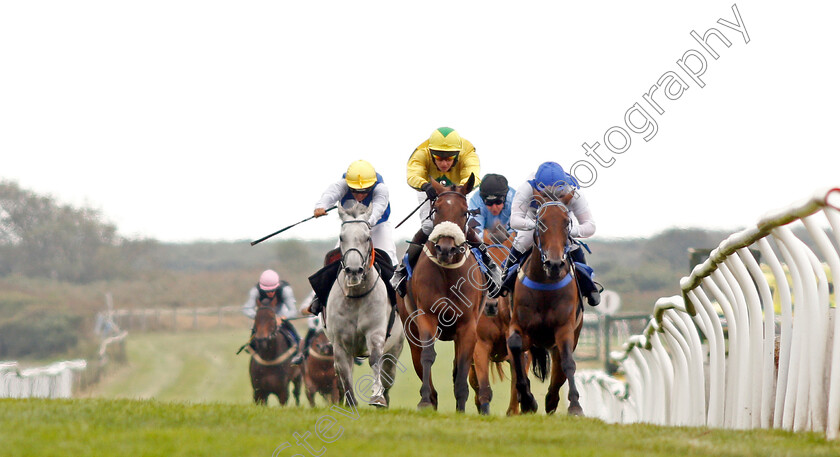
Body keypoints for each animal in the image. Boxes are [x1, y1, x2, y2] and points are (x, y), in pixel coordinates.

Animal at [324, 202, 404, 406]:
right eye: (341, 237)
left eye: (367, 237)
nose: (354, 271)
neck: (356, 296)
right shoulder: (340, 344)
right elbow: (344, 374)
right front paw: (350, 402)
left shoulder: (375, 333)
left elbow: (374, 360)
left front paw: (377, 396)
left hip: (395, 348)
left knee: (388, 374)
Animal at [400, 174, 492, 414]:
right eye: (437, 209)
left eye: (464, 211)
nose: (445, 249)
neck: (449, 275)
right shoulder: (426, 316)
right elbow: (428, 356)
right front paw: (425, 400)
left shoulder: (468, 326)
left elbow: (462, 364)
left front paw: (461, 406)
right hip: (410, 329)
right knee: (418, 357)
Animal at [506, 187, 584, 416]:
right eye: (540, 222)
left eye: (567, 222)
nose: (555, 264)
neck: (545, 285)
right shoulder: (517, 325)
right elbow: (515, 348)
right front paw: (528, 400)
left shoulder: (564, 328)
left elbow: (568, 363)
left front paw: (574, 406)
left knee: (559, 369)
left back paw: (552, 400)